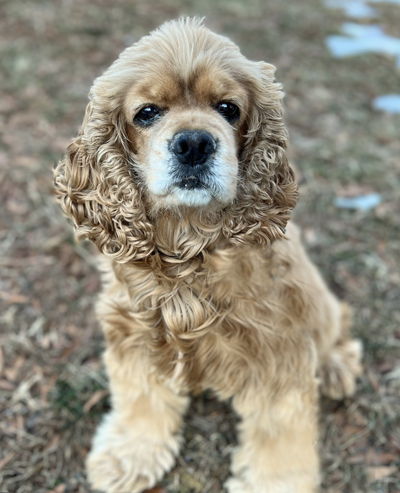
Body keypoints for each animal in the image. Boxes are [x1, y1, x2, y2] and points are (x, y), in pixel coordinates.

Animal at [54, 17, 364, 490]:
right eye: (147, 112)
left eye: (228, 108)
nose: (195, 144)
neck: (190, 245)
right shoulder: (135, 331)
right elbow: (141, 400)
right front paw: (129, 457)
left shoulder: (279, 353)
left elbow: (281, 435)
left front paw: (275, 482)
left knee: (336, 326)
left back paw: (334, 368)